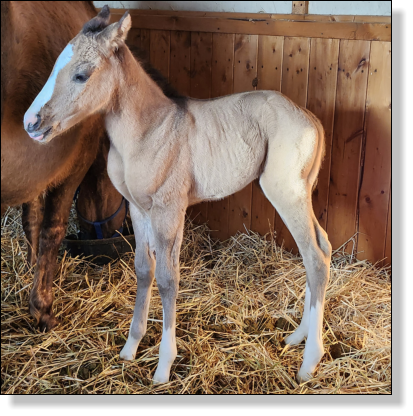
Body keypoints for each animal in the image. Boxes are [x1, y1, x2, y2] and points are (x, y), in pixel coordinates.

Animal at [0, 1, 127, 332]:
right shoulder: (72, 166)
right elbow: (52, 229)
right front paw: (42, 309)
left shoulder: (33, 171)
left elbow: (31, 218)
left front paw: (29, 265)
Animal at [24, 6, 333, 384]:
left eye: (81, 74)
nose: (30, 122)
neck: (148, 132)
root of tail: (311, 119)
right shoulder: (139, 210)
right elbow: (144, 270)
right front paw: (130, 348)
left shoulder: (168, 208)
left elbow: (168, 279)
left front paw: (163, 366)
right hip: (301, 192)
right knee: (320, 247)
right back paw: (297, 336)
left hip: (286, 193)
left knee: (315, 256)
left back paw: (309, 361)